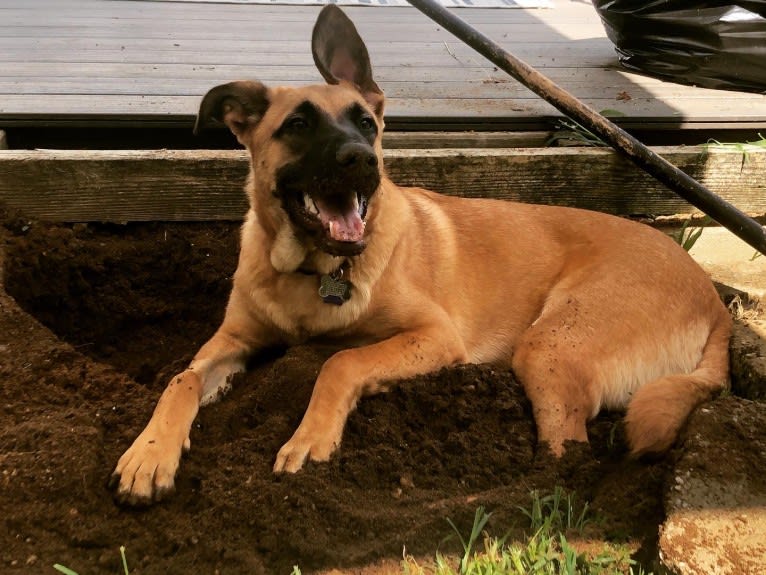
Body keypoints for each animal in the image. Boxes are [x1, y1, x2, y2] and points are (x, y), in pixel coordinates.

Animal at [111, 5, 736, 508]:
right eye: (298, 125)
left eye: (367, 123)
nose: (363, 160)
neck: (313, 271)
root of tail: (716, 303)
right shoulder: (233, 339)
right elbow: (182, 379)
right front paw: (149, 453)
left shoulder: (434, 336)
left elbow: (341, 362)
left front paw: (310, 438)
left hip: (550, 345)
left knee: (566, 453)